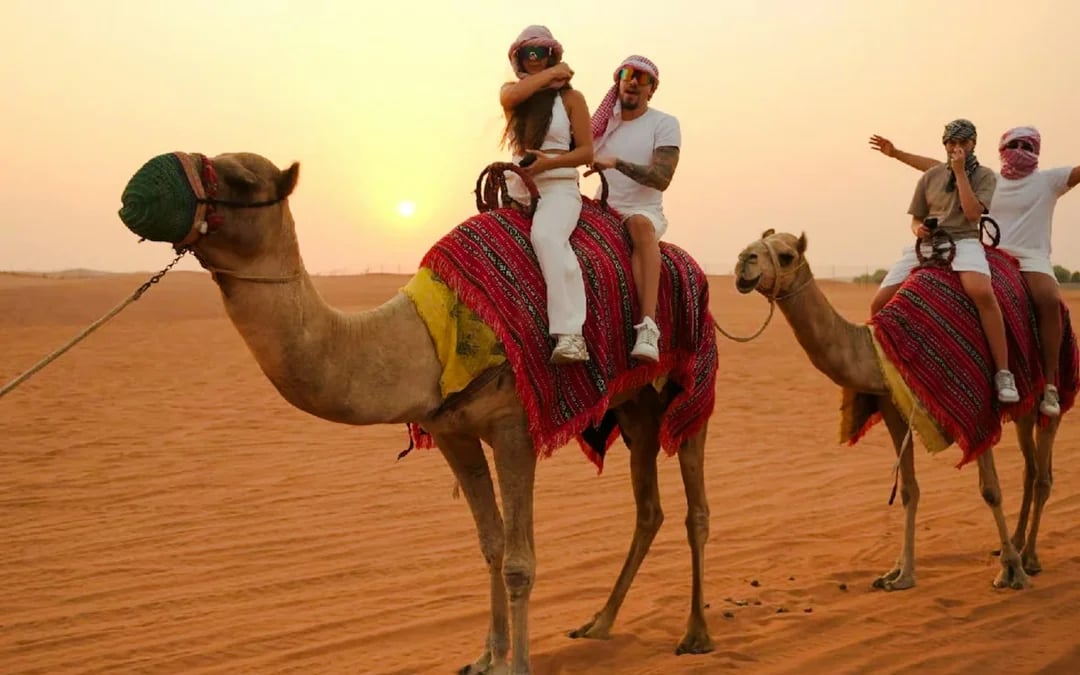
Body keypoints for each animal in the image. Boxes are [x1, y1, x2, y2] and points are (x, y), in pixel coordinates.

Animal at [116, 151, 714, 675]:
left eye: (240, 180)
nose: (136, 194)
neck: (423, 341)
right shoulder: (452, 431)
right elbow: (491, 543)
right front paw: (487, 658)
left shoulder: (514, 428)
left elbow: (520, 560)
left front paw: (518, 666)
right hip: (635, 406)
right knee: (649, 508)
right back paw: (600, 623)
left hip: (690, 385)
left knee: (695, 508)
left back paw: (695, 633)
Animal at [733, 230, 1061, 592]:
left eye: (786, 255)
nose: (744, 261)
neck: (882, 346)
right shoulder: (894, 407)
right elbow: (908, 489)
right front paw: (900, 573)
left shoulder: (977, 412)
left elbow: (990, 490)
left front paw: (1011, 571)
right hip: (1023, 412)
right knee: (1031, 469)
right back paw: (1016, 544)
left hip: (1047, 392)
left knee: (1043, 473)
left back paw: (1028, 557)